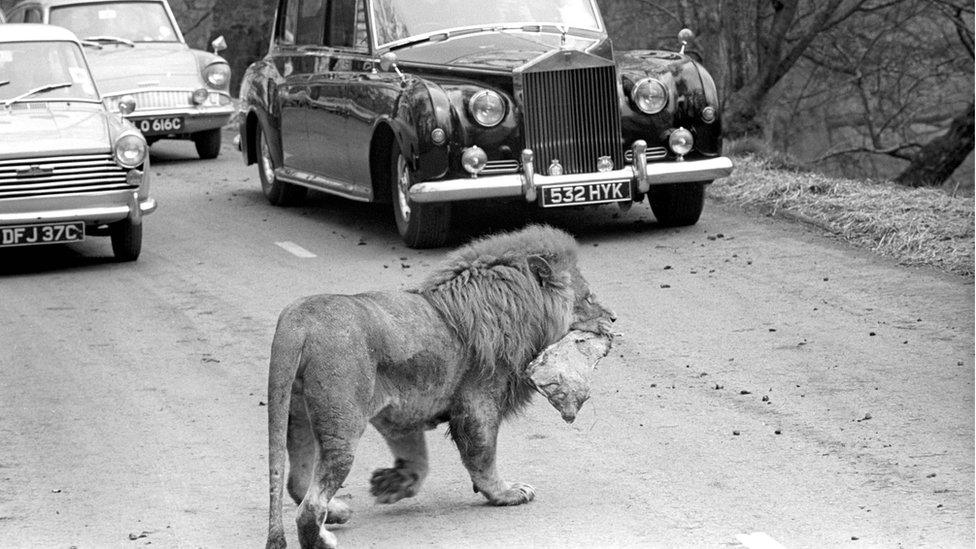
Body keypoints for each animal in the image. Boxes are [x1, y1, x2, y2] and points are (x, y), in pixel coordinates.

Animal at [264, 224, 616, 548]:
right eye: (587, 298)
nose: (613, 319)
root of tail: (299, 322)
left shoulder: (400, 413)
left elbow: (418, 463)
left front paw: (391, 485)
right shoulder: (478, 400)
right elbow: (483, 455)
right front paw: (505, 493)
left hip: (297, 416)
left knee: (296, 483)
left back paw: (337, 512)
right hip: (342, 425)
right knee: (309, 505)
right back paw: (323, 537)